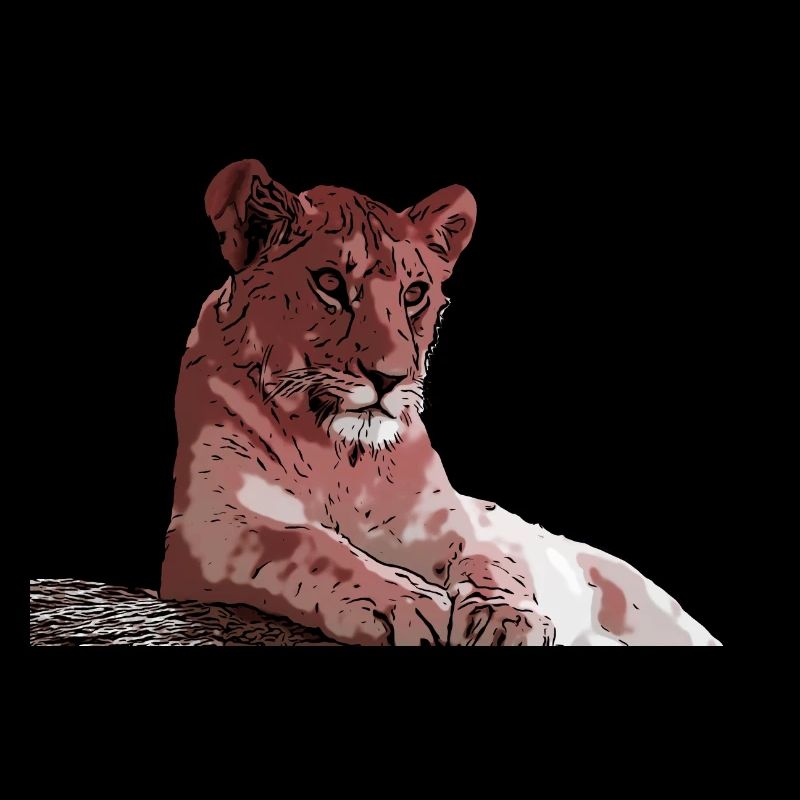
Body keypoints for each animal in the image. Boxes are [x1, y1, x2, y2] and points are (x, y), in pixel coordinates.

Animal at [160, 158, 721, 646]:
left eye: (414, 294)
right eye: (330, 284)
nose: (388, 378)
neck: (340, 458)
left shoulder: (455, 521)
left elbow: (493, 562)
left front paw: (507, 618)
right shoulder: (214, 524)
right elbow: (308, 544)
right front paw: (407, 603)